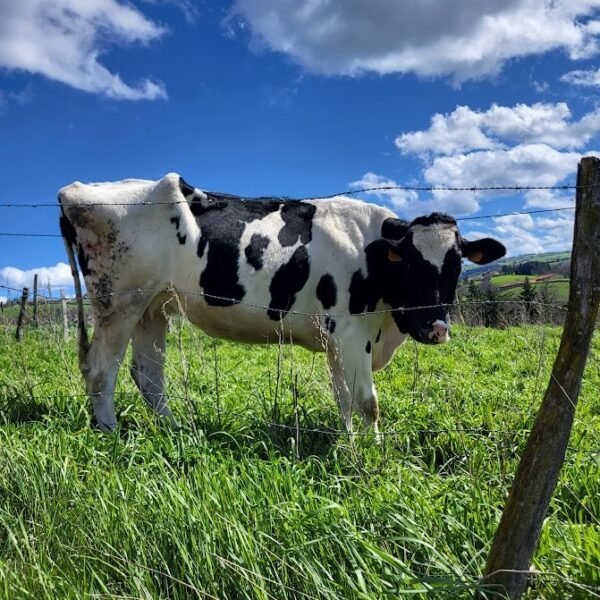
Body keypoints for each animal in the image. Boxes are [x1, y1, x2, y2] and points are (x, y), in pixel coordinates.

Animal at [58, 173, 504, 436]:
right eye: (409, 264)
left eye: (456, 264)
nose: (436, 329)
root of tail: (76, 188)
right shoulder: (349, 332)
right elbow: (367, 402)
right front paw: (374, 455)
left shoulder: (336, 339)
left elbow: (344, 399)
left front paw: (351, 444)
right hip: (118, 300)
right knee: (101, 370)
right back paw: (112, 434)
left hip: (152, 304)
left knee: (148, 375)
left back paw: (177, 431)